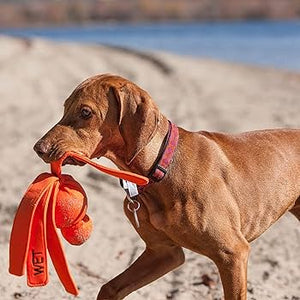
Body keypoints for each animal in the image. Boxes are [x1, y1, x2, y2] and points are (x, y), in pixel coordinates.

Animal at [34, 74, 298, 298]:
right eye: (65, 108)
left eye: (86, 112)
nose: (39, 148)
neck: (160, 168)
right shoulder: (163, 253)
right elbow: (109, 288)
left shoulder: (232, 254)